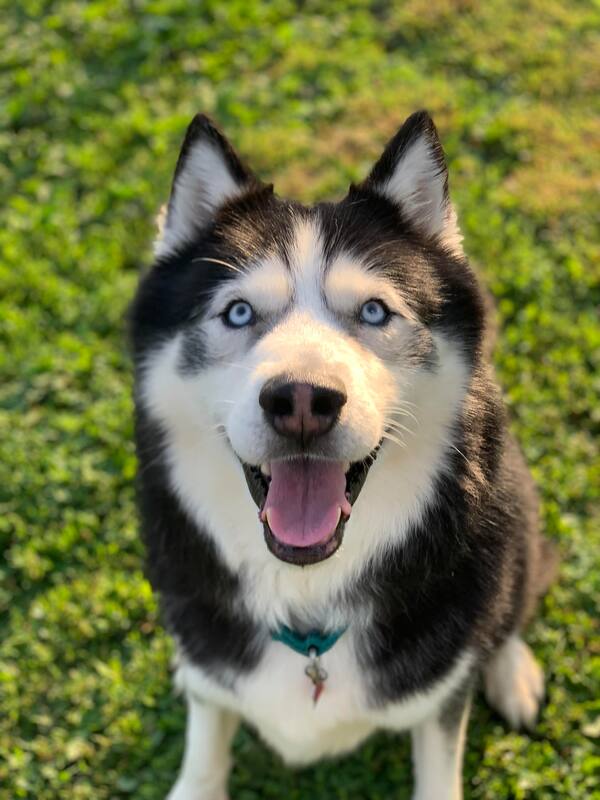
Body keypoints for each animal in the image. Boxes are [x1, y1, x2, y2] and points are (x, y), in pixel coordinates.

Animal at [131, 111, 556, 800]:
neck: (307, 602)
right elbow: (206, 726)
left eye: (375, 310)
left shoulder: (439, 700)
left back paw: (509, 668)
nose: (303, 399)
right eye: (239, 311)